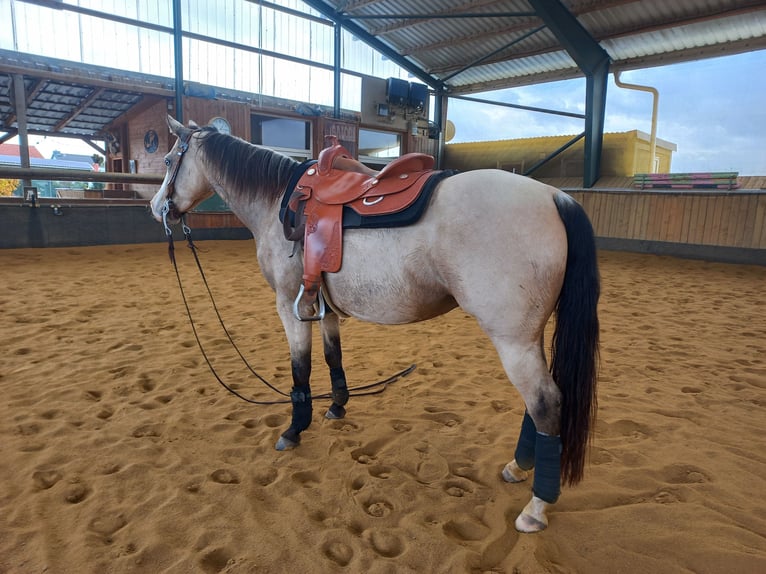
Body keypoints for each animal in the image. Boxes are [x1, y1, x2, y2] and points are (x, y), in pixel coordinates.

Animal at [153, 116, 604, 536]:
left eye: (168, 160)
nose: (158, 207)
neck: (278, 199)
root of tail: (553, 196)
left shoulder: (288, 305)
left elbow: (301, 369)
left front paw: (295, 429)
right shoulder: (323, 307)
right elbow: (332, 356)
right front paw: (337, 406)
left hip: (513, 340)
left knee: (545, 403)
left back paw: (536, 507)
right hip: (530, 336)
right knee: (537, 404)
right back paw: (518, 466)